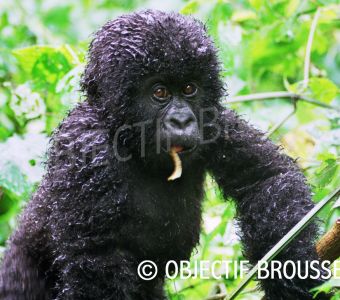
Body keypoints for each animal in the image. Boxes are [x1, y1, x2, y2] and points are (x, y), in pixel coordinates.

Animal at [0, 9, 330, 300]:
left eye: (189, 88)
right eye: (159, 93)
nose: (182, 121)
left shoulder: (215, 121)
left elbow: (266, 179)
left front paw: (293, 271)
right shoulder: (85, 146)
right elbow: (95, 258)